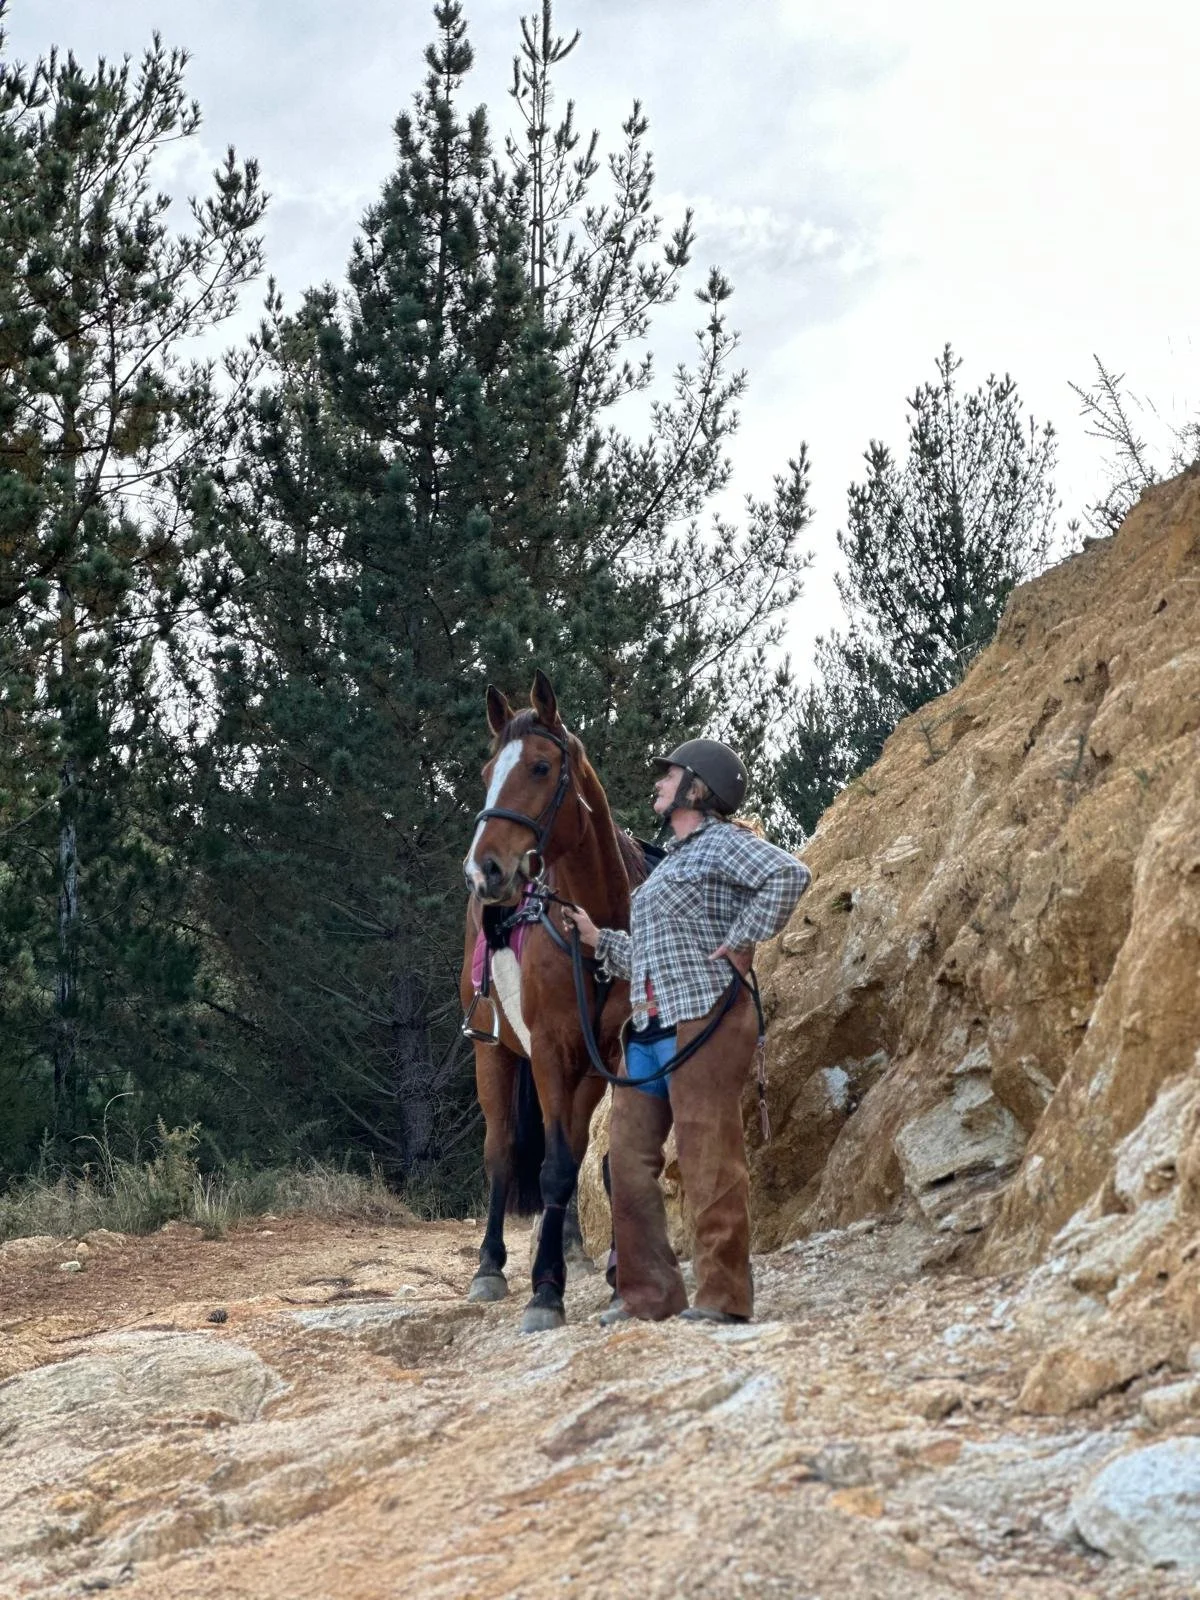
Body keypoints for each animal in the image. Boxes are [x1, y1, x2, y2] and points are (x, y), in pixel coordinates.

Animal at [460, 670, 645, 1332]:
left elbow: (600, 1159)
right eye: (488, 772)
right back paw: (490, 1266)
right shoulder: (547, 1051)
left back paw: (569, 1245)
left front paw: (615, 1275)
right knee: (501, 1152)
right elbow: (552, 1164)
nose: (483, 870)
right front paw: (545, 1290)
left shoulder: (610, 1053)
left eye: (540, 767)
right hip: (492, 1055)